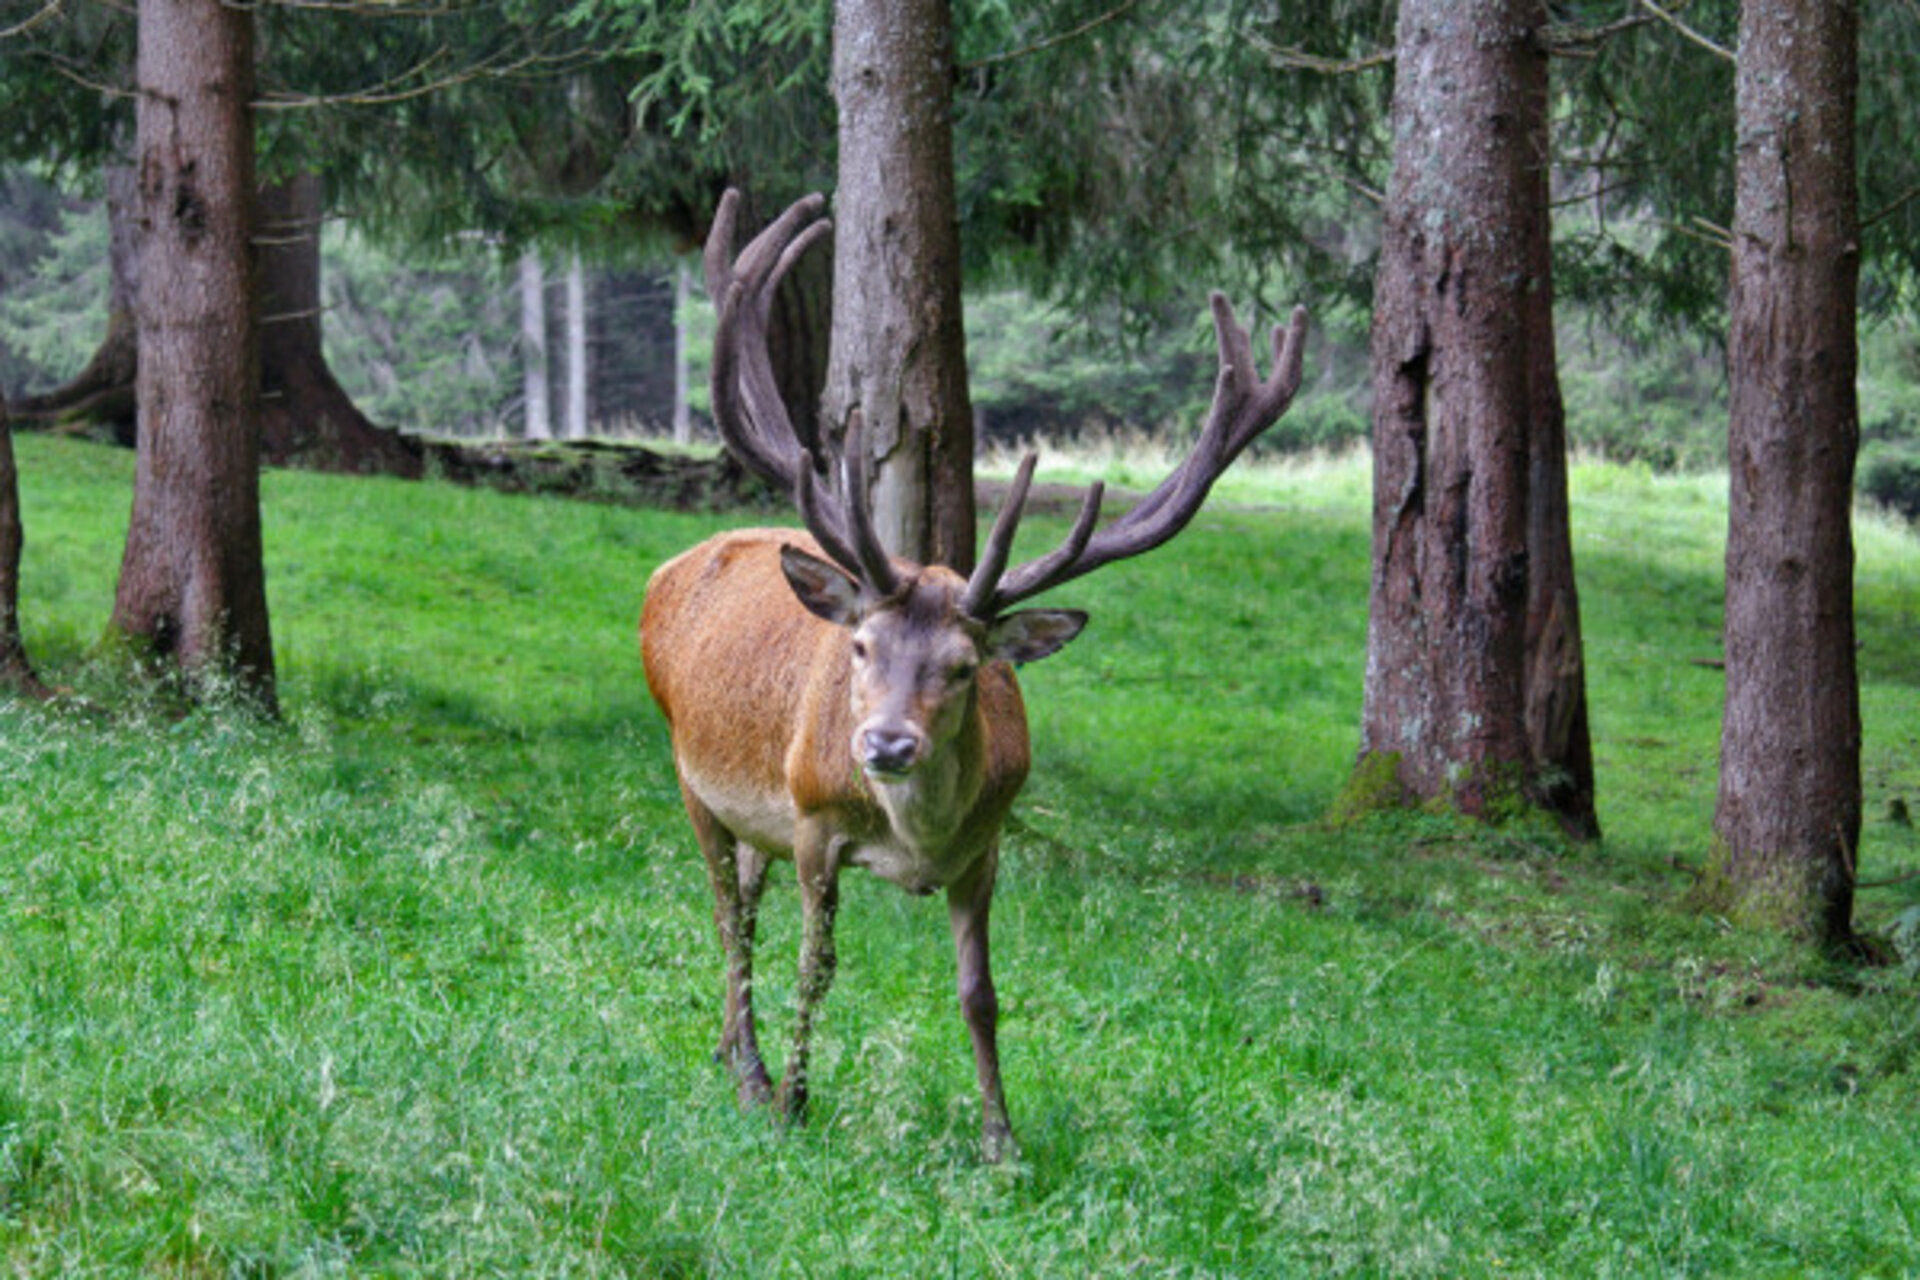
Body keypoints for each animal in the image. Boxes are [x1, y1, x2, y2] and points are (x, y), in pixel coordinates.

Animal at [640, 189, 1308, 1162]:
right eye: (861, 648)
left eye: (964, 669)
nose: (884, 745)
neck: (913, 840)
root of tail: (667, 572)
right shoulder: (812, 821)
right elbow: (816, 967)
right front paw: (796, 1100)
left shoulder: (985, 848)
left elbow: (981, 995)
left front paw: (1002, 1139)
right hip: (694, 778)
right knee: (730, 917)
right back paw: (753, 1073)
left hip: (751, 816)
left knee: (746, 909)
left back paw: (730, 1047)